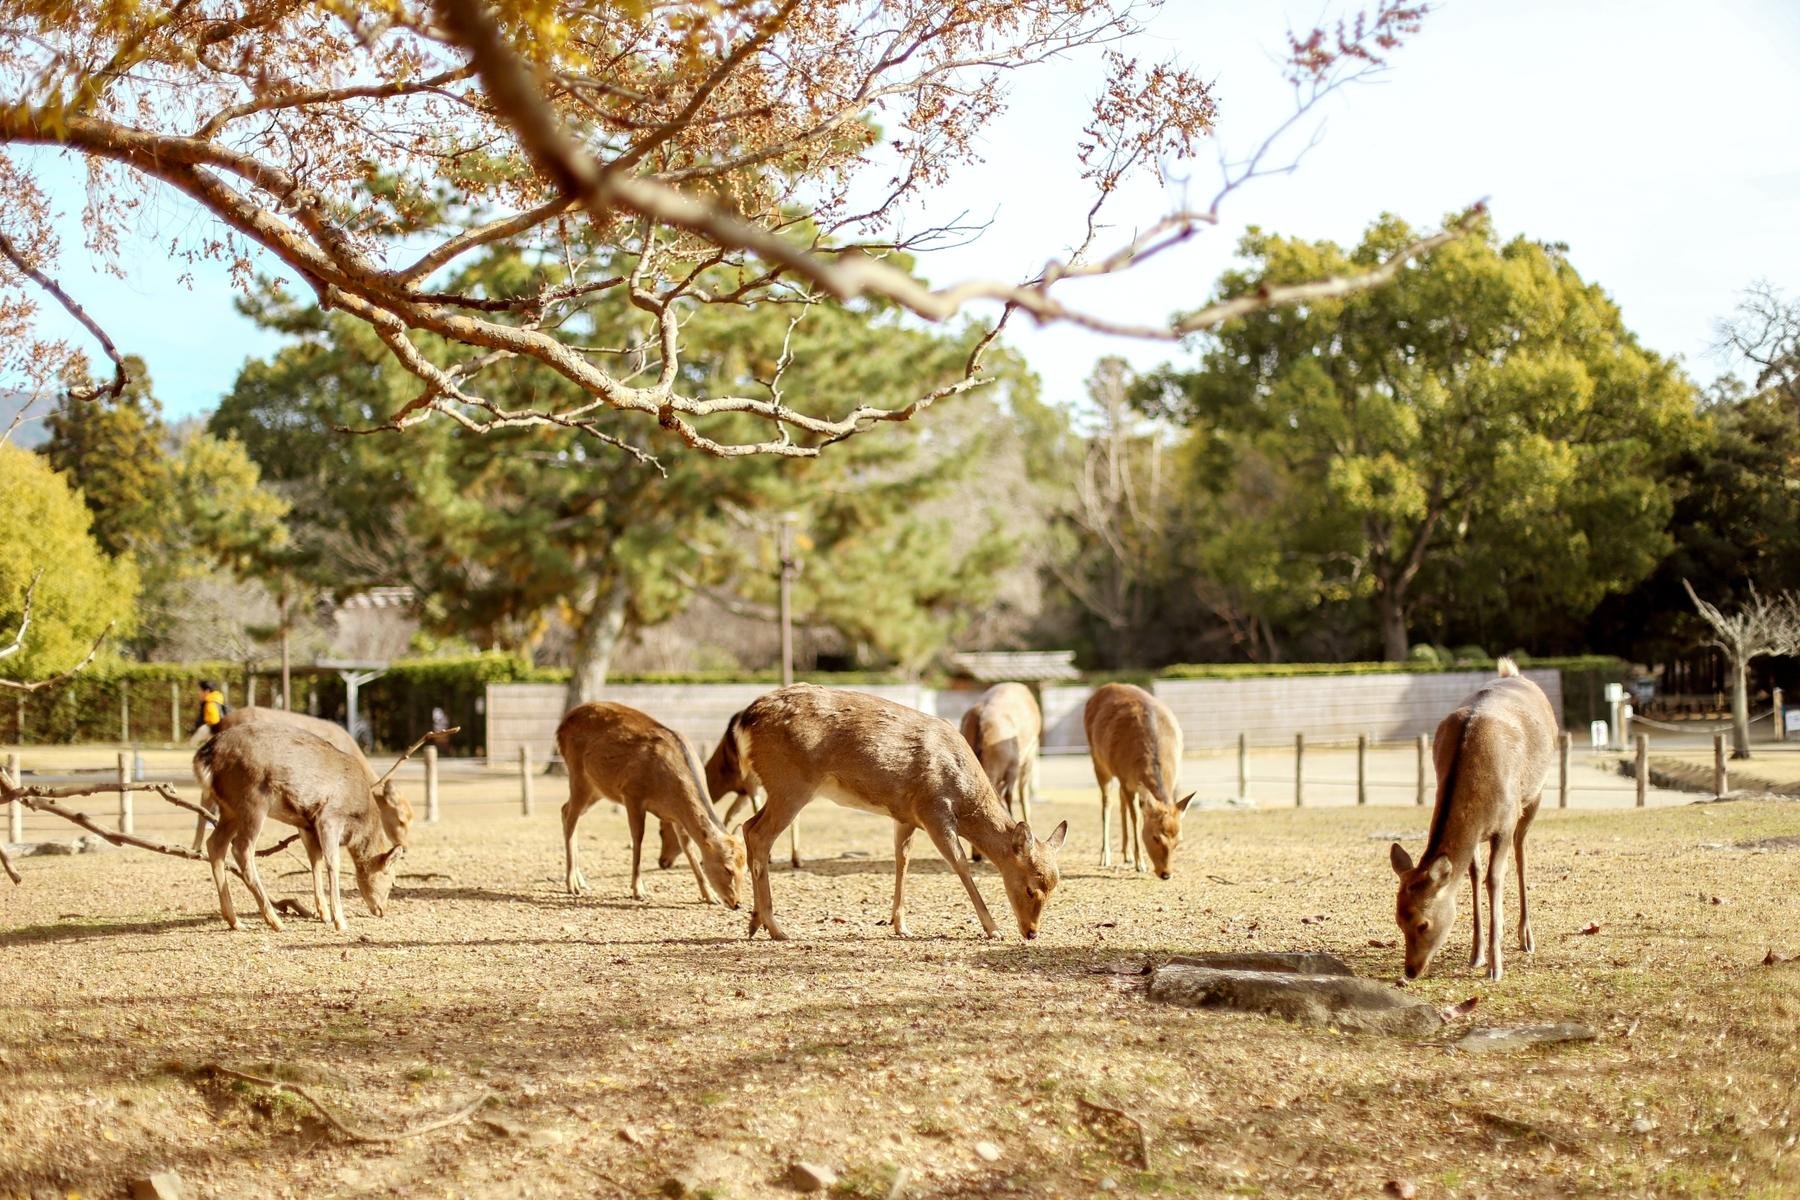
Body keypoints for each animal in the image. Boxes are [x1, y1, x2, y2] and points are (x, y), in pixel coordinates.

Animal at [193, 722, 405, 933]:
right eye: (392, 880)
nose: (382, 910)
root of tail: (205, 756)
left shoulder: (307, 824)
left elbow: (315, 861)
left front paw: (324, 914)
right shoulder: (330, 816)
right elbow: (333, 863)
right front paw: (340, 921)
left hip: (230, 809)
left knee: (215, 844)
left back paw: (236, 921)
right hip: (252, 799)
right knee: (241, 848)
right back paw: (275, 921)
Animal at [556, 702, 747, 908]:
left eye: (745, 868)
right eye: (727, 868)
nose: (736, 903)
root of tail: (561, 727)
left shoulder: (676, 816)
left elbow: (687, 847)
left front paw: (709, 895)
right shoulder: (632, 793)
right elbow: (638, 839)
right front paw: (638, 890)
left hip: (597, 789)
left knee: (565, 809)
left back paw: (581, 880)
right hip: (578, 775)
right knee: (570, 817)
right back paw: (572, 884)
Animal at [706, 684, 1068, 941]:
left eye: (1054, 888)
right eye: (1031, 887)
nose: (1032, 932)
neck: (963, 795)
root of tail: (745, 719)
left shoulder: (905, 815)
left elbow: (901, 860)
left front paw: (900, 925)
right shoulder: (933, 809)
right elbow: (960, 864)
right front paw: (993, 929)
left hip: (779, 787)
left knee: (748, 826)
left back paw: (755, 922)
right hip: (791, 785)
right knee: (758, 834)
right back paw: (777, 928)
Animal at [1083, 683, 1194, 878]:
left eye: (1179, 840)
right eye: (1155, 837)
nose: (1166, 873)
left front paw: (1134, 859)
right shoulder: (1125, 777)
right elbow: (1136, 818)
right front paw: (1141, 864)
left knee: (1120, 802)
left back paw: (1125, 855)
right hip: (1099, 762)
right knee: (1106, 804)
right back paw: (1105, 857)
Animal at [1389, 658, 1557, 982]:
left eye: (1423, 923)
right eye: (1398, 920)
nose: (1410, 971)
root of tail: (1514, 674)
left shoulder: (1505, 822)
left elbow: (1494, 878)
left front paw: (1495, 966)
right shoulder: (1475, 831)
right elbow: (1475, 874)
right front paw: (1476, 953)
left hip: (1535, 795)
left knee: (1521, 852)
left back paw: (1526, 937)